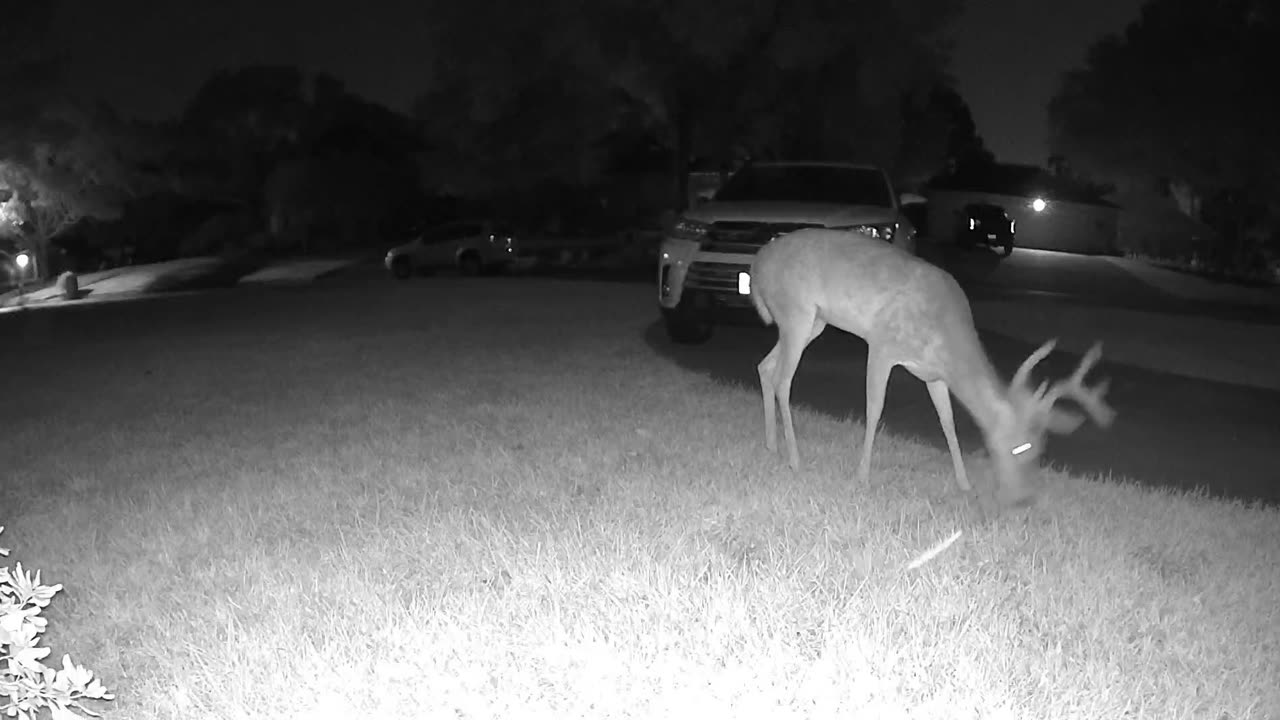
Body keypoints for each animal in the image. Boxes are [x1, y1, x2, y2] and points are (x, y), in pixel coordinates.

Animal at [747, 226, 1116, 502]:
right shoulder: (883, 343)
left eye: (1041, 449)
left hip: (814, 322)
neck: (946, 336)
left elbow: (948, 421)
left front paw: (964, 483)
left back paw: (770, 445)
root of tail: (756, 264)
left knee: (765, 367)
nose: (1023, 498)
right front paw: (862, 475)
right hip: (796, 312)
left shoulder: (934, 374)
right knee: (783, 379)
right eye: (1019, 448)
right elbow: (874, 408)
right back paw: (795, 459)